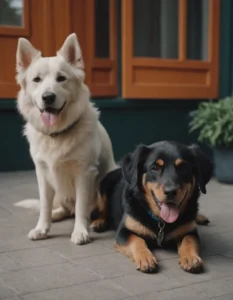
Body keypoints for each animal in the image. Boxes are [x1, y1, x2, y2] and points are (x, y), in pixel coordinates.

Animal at [14, 33, 116, 244]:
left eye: (61, 78)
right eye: (37, 79)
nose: (48, 97)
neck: (57, 135)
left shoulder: (84, 172)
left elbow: (81, 207)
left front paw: (80, 231)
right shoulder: (42, 173)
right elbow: (45, 205)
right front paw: (42, 228)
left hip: (110, 176)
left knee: (92, 209)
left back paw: (98, 221)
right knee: (62, 208)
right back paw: (55, 215)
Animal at [90, 141, 213, 274]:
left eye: (183, 167)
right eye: (155, 168)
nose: (170, 191)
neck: (161, 221)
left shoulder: (189, 231)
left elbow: (189, 241)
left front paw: (191, 258)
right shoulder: (124, 232)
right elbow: (137, 240)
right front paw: (146, 258)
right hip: (102, 190)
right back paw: (99, 222)